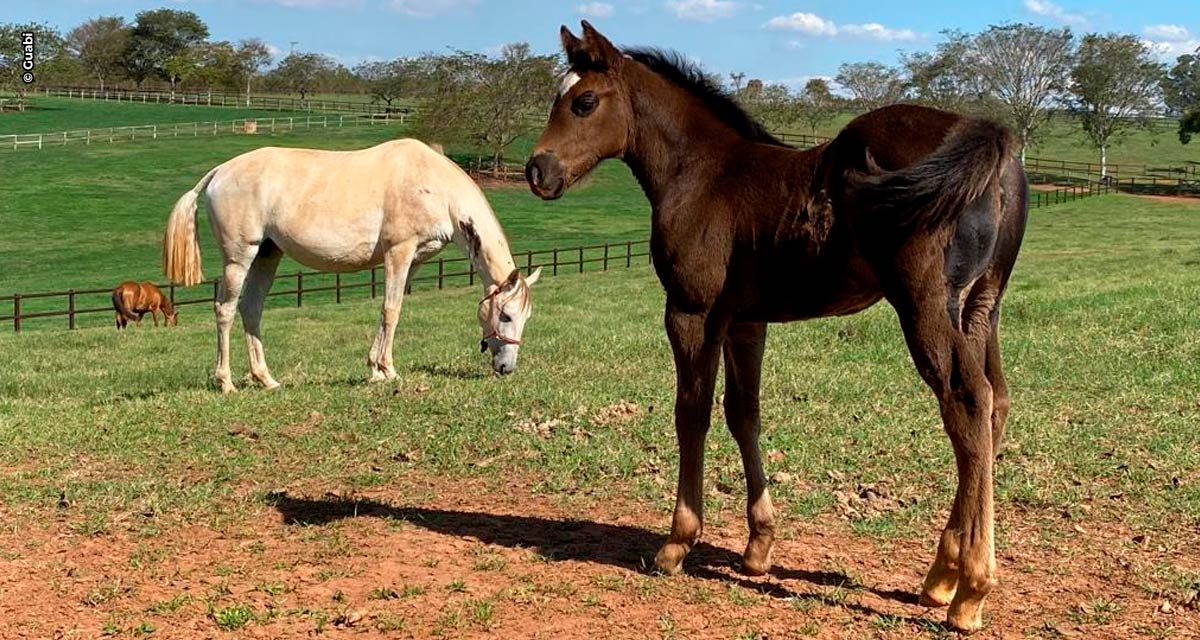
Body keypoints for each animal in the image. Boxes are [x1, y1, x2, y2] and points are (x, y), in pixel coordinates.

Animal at [160, 138, 544, 389]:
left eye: (525, 318)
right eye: (505, 315)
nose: (507, 367)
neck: (435, 187)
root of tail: (220, 172)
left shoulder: (414, 260)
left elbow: (389, 309)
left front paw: (374, 369)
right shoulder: (398, 252)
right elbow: (391, 311)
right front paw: (388, 371)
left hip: (267, 254)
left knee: (251, 309)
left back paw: (267, 380)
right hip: (239, 257)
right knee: (225, 310)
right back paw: (225, 382)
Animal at [530, 22, 1027, 629]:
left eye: (583, 102)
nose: (538, 171)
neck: (701, 173)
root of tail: (988, 140)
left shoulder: (691, 312)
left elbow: (691, 414)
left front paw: (677, 543)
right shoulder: (745, 321)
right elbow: (744, 414)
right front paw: (758, 545)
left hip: (927, 306)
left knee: (966, 403)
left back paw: (970, 591)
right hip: (981, 309)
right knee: (994, 403)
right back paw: (941, 576)